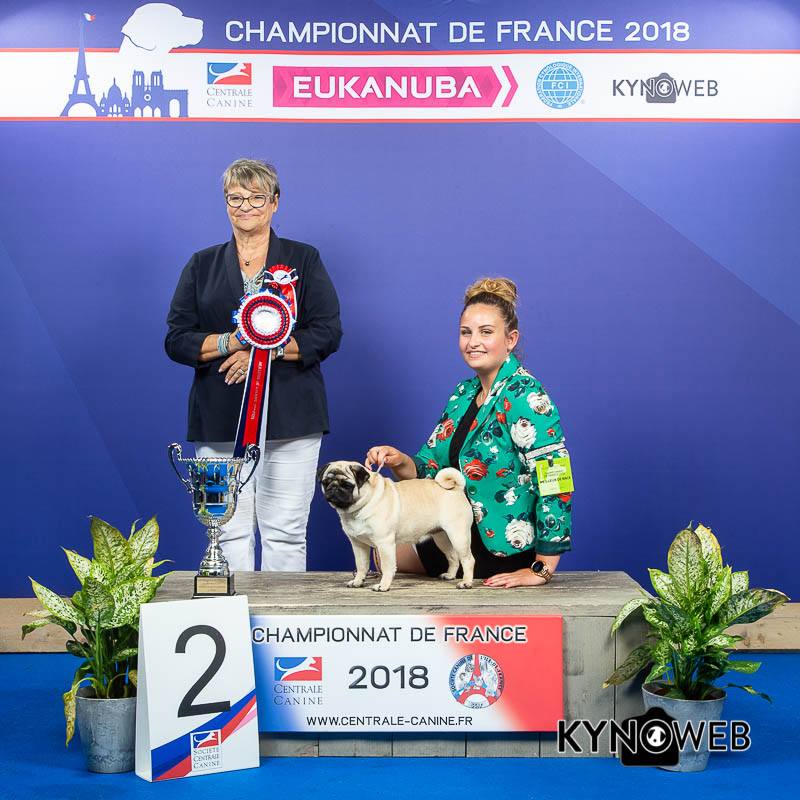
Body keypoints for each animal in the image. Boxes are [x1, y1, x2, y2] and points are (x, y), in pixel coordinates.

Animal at [318, 461, 475, 592]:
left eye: (347, 485)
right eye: (326, 483)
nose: (333, 489)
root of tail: (456, 488)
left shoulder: (384, 543)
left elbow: (387, 567)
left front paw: (383, 586)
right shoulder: (358, 544)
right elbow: (361, 565)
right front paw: (358, 581)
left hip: (458, 536)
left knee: (468, 560)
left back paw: (466, 582)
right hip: (442, 537)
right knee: (453, 557)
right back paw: (450, 575)